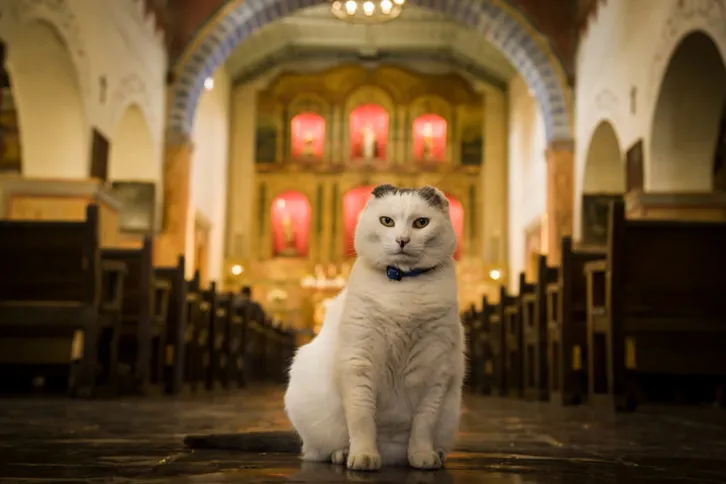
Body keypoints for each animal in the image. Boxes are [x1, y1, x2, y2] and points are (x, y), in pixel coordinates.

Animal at [284, 183, 466, 470]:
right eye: (387, 221)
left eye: (421, 223)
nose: (402, 240)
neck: (403, 284)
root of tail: (392, 457)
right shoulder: (358, 362)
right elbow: (362, 419)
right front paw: (364, 457)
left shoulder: (436, 371)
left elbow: (424, 424)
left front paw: (422, 456)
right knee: (318, 450)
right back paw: (343, 455)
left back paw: (436, 455)